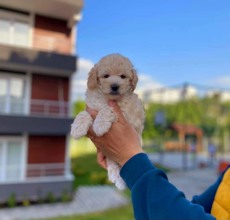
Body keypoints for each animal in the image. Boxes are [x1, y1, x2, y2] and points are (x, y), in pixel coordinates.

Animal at [71, 53, 145, 189]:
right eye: (106, 76)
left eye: (123, 76)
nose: (115, 86)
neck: (107, 98)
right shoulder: (91, 106)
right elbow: (84, 113)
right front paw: (77, 129)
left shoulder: (124, 113)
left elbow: (107, 109)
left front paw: (99, 126)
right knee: (113, 162)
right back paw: (115, 176)